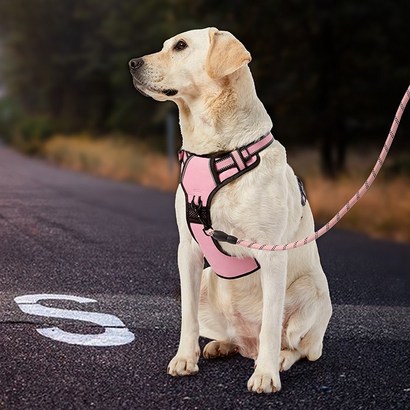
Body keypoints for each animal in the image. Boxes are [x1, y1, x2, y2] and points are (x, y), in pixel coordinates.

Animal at [130, 27, 332, 392]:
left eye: (180, 46)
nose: (132, 63)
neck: (214, 150)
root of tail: (247, 343)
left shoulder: (272, 255)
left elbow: (271, 324)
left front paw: (265, 375)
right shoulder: (188, 249)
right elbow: (188, 317)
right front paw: (185, 358)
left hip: (310, 293)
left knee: (299, 346)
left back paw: (278, 359)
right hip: (211, 278)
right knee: (235, 337)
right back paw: (221, 345)